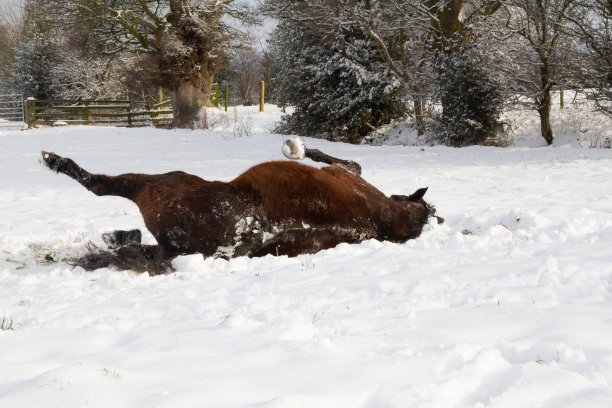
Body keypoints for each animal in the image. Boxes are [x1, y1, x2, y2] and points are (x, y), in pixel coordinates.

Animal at [40, 138, 440, 274]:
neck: (386, 218)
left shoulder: (346, 172)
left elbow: (343, 159)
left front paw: (299, 148)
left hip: (157, 183)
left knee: (99, 185)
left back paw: (55, 161)